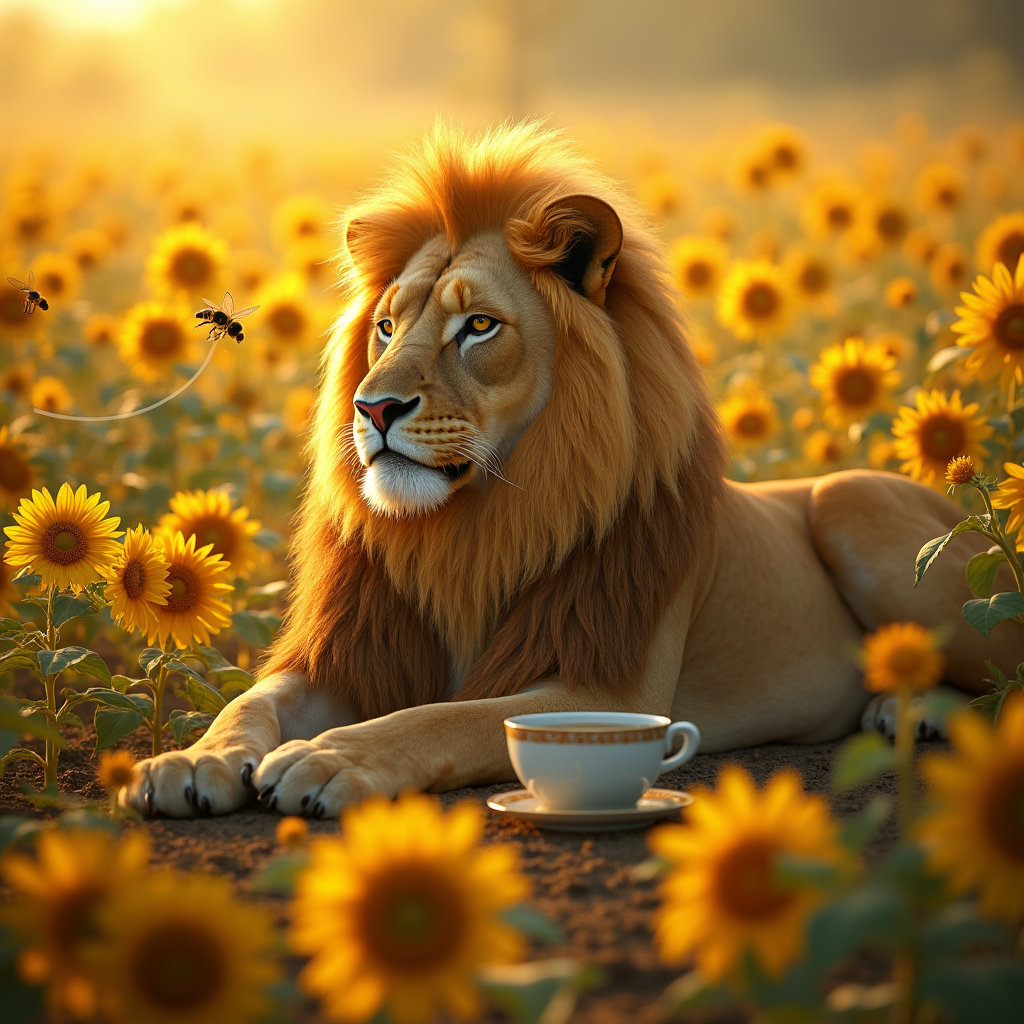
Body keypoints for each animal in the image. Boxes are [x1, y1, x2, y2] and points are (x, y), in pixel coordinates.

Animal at [126, 122, 1022, 819]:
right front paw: (192, 760)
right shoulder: (349, 655)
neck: (468, 528)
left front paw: (332, 758)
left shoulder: (609, 690)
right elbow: (251, 700)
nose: (373, 408)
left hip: (857, 505)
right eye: (384, 327)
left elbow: (439, 720)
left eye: (479, 327)